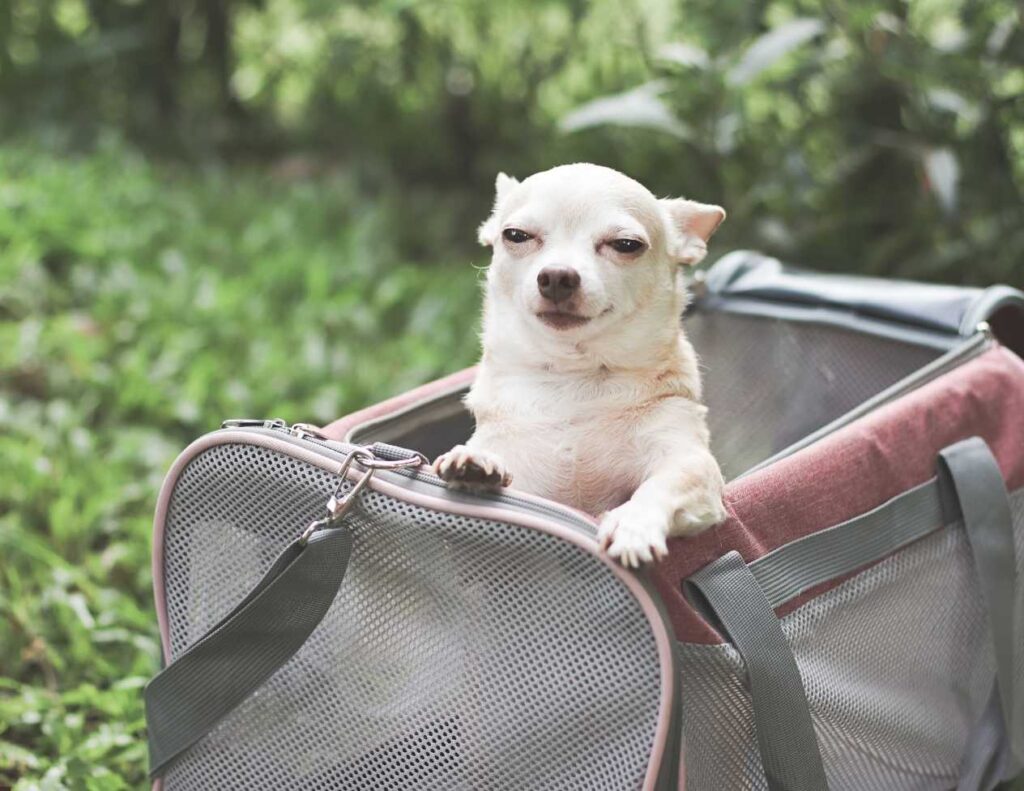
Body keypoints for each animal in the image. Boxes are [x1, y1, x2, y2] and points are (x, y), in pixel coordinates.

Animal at [432, 163, 729, 565]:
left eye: (626, 245)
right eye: (516, 236)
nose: (557, 275)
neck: (574, 378)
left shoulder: (690, 459)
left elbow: (665, 483)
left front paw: (633, 525)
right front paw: (474, 462)